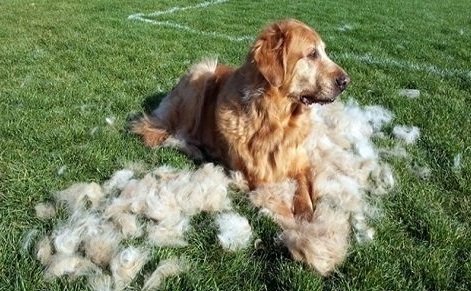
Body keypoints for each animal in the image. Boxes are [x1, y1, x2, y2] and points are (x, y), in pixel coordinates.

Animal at [133, 19, 350, 222]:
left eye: (323, 51)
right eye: (312, 54)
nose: (346, 81)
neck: (276, 120)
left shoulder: (300, 161)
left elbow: (303, 188)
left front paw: (306, 216)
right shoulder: (256, 175)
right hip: (201, 75)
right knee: (175, 133)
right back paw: (197, 150)